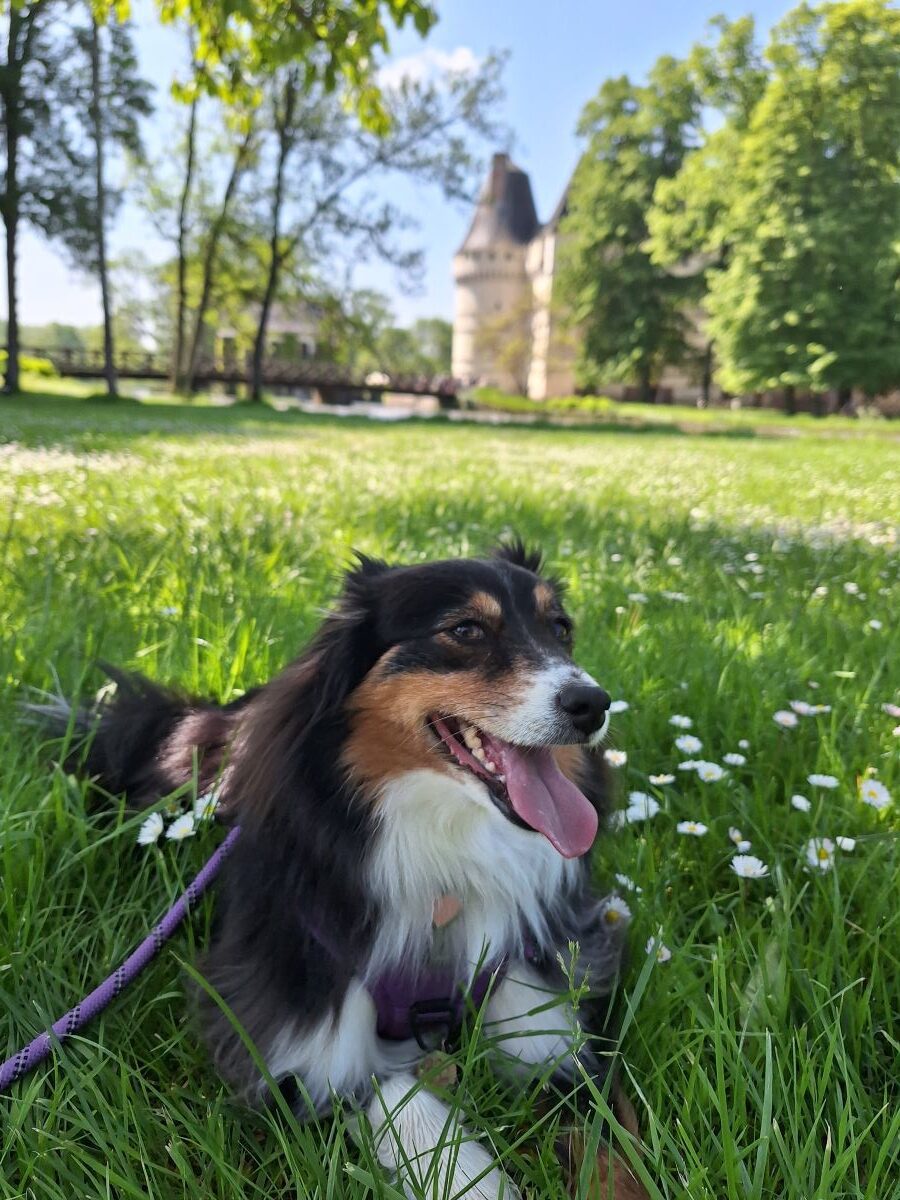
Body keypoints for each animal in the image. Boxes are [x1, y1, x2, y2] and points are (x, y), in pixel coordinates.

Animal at [54, 547, 643, 1200]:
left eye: (560, 629)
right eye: (465, 630)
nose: (593, 703)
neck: (444, 853)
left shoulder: (544, 1013)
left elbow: (609, 1143)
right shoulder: (298, 1045)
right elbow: (405, 1105)